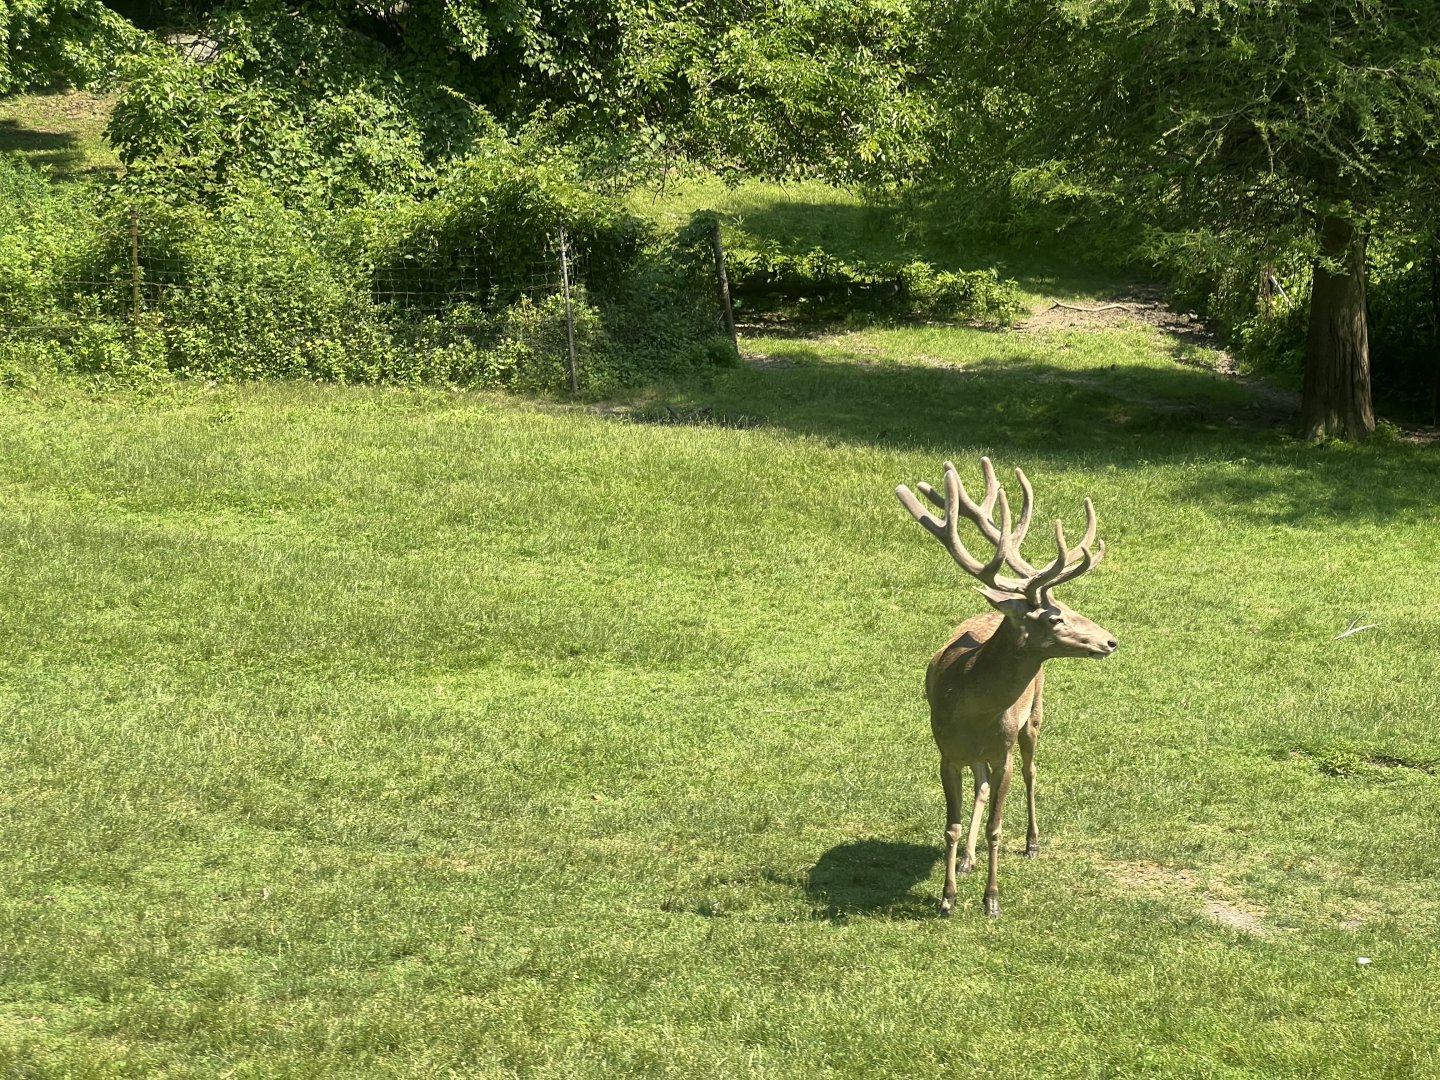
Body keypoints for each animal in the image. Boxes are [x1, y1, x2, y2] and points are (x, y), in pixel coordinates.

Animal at [896, 457, 1117, 918]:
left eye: (1068, 606)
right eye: (1054, 616)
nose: (1110, 641)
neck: (972, 710)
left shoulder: (1004, 753)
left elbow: (997, 827)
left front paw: (992, 899)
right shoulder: (946, 752)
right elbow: (951, 825)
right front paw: (947, 898)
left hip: (1033, 718)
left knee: (1033, 771)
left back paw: (1032, 843)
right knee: (980, 786)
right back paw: (967, 860)